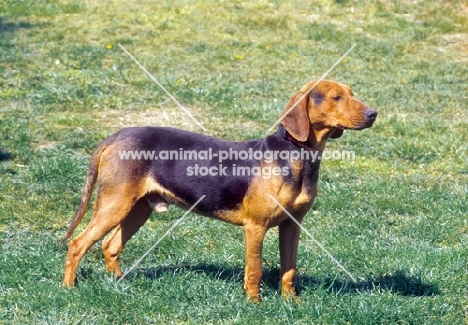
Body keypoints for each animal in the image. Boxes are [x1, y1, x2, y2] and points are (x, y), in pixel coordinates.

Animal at [62, 79, 376, 300]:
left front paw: (291, 303)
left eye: (351, 93)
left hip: (136, 209)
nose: (374, 113)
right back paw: (68, 288)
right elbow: (254, 270)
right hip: (115, 205)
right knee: (77, 245)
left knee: (110, 246)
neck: (296, 155)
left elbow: (289, 270)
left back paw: (118, 283)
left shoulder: (291, 225)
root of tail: (116, 135)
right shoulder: (255, 228)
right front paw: (254, 304)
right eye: (336, 97)